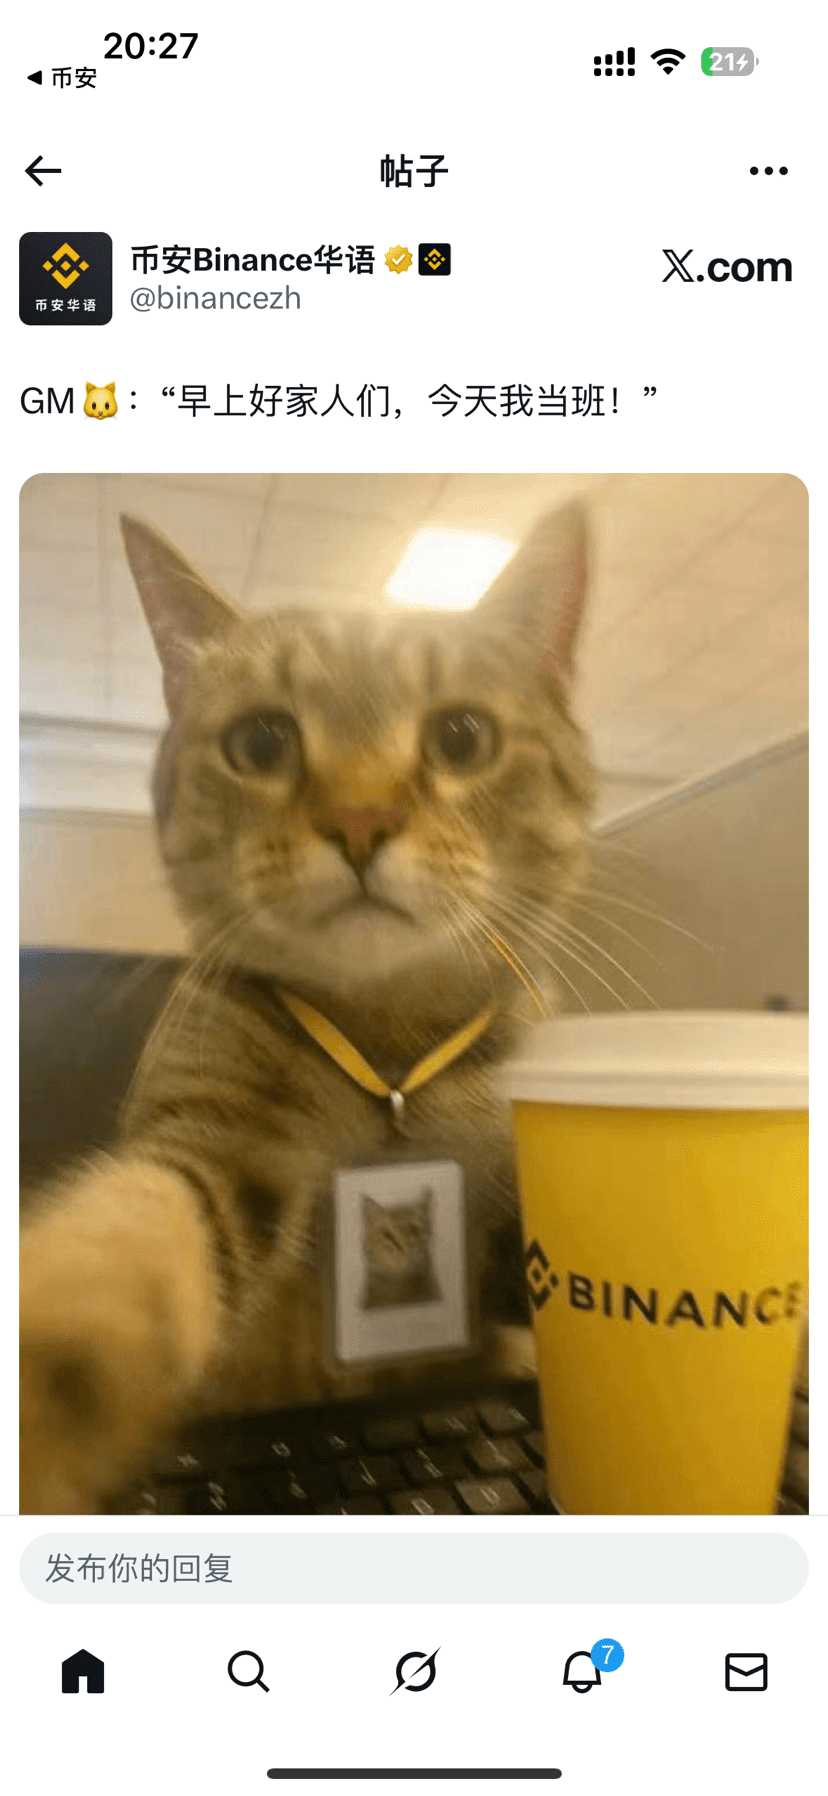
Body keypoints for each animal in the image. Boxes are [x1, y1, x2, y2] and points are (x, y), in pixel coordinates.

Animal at [19, 501, 596, 1514]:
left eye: (461, 738)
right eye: (261, 744)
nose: (360, 822)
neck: (393, 1049)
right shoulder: (208, 1150)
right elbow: (120, 1251)